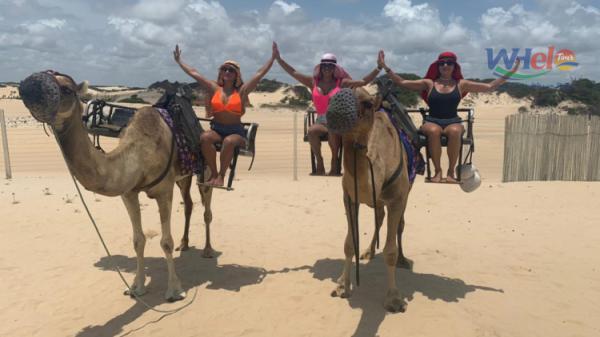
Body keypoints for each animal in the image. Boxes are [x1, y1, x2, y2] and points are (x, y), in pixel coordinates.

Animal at [19, 69, 213, 300]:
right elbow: (138, 240)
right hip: (183, 176)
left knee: (206, 207)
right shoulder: (128, 192)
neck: (139, 153)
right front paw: (136, 287)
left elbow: (166, 241)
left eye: (65, 88)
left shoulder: (164, 190)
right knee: (189, 203)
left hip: (205, 168)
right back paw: (184, 244)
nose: (28, 85)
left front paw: (175, 290)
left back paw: (208, 250)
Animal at [326, 87, 414, 312]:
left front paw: (393, 299)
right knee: (379, 216)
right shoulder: (349, 197)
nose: (337, 111)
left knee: (400, 224)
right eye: (331, 97)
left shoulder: (397, 198)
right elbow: (349, 243)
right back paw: (368, 252)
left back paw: (403, 260)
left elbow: (390, 251)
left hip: (407, 192)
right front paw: (342, 285)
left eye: (366, 103)